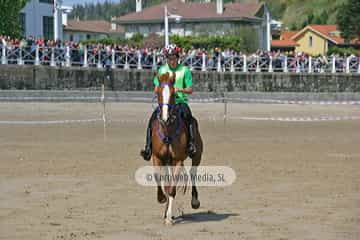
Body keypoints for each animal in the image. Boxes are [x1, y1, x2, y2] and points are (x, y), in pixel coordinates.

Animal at [150, 71, 204, 225]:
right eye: (158, 92)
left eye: (174, 93)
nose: (165, 117)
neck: (168, 131)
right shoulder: (157, 158)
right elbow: (160, 180)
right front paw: (162, 199)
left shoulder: (178, 160)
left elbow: (172, 189)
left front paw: (169, 218)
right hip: (167, 162)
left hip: (196, 156)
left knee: (192, 174)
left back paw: (194, 201)